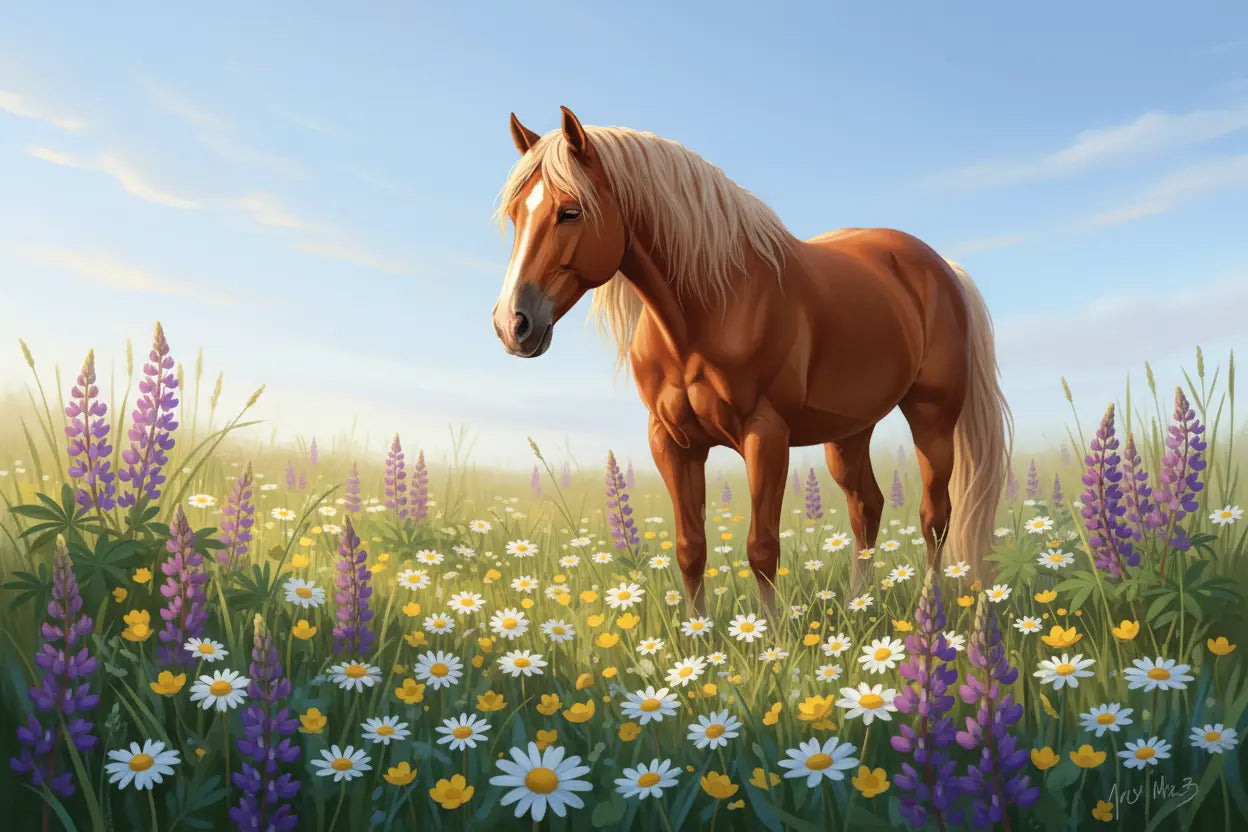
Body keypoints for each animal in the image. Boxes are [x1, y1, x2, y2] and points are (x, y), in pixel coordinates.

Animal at [491, 106, 1012, 616]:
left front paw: (770, 635)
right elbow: (690, 548)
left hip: (932, 417)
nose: (511, 324)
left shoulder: (766, 436)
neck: (708, 309)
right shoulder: (672, 442)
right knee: (867, 506)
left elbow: (762, 548)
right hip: (849, 432)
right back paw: (857, 606)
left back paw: (930, 612)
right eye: (515, 214)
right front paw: (697, 634)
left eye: (570, 211)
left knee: (935, 517)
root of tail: (943, 268)